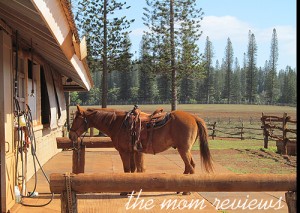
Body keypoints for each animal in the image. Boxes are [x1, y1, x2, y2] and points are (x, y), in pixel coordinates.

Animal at [68, 105, 213, 183]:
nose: (70, 135)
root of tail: (194, 117)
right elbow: (133, 170)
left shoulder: (124, 152)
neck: (117, 123)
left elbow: (127, 170)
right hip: (184, 150)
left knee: (191, 168)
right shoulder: (133, 151)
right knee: (189, 167)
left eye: (76, 118)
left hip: (183, 150)